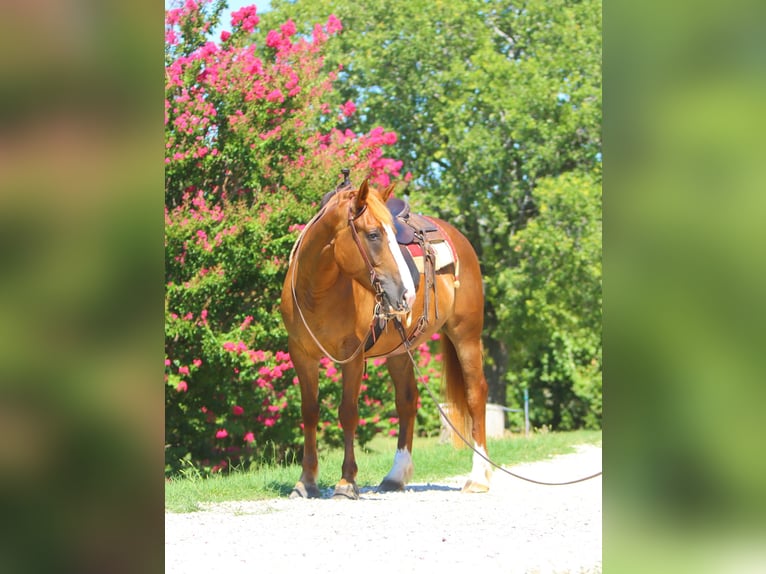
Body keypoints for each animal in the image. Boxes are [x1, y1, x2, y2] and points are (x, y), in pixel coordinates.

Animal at [282, 176, 492, 500]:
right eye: (372, 235)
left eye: (393, 234)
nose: (406, 294)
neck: (317, 291)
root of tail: (459, 237)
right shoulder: (301, 354)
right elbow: (310, 412)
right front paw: (306, 482)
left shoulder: (353, 357)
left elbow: (348, 413)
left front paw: (347, 482)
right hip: (399, 351)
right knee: (407, 401)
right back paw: (395, 476)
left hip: (466, 335)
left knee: (475, 395)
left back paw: (479, 476)